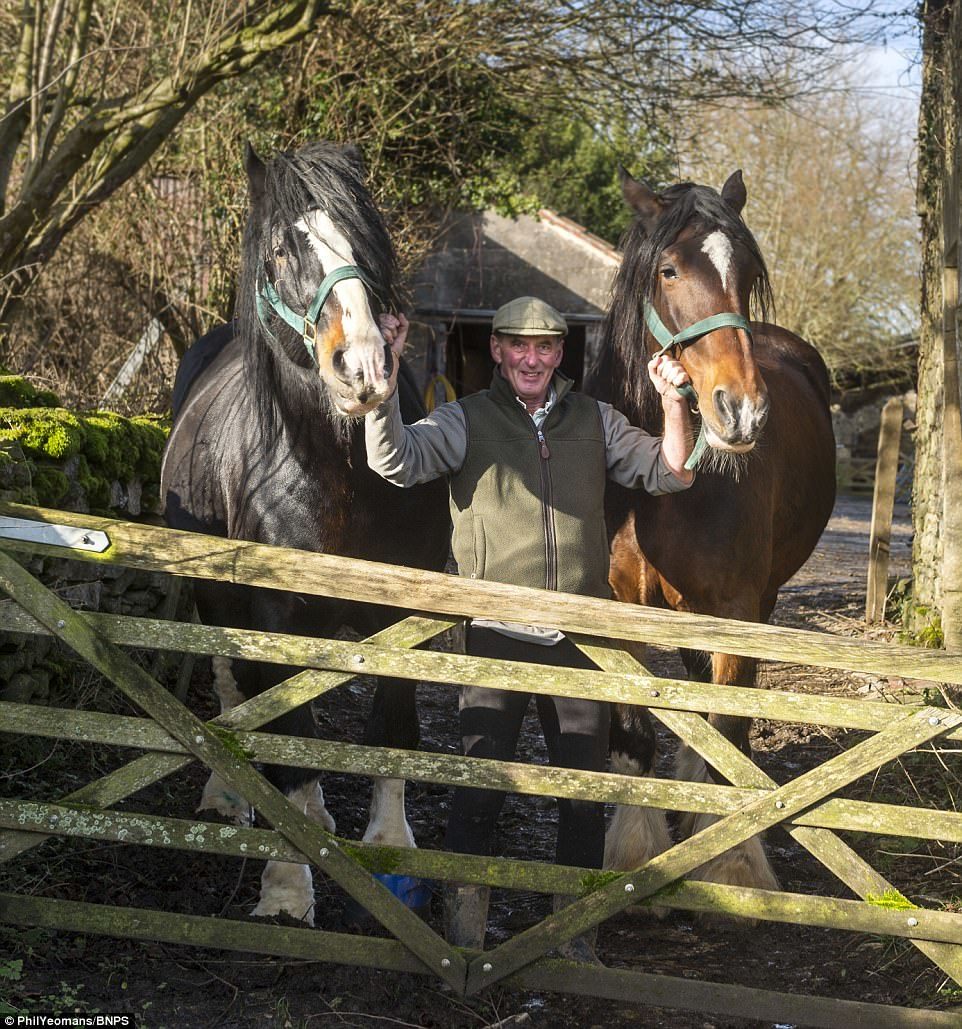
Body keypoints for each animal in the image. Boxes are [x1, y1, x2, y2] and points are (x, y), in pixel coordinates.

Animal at [162, 143, 450, 926]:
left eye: (366, 242)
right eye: (281, 250)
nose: (363, 369)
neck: (337, 472)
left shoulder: (406, 614)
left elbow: (392, 730)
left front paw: (392, 846)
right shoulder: (272, 614)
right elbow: (287, 733)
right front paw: (288, 889)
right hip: (216, 604)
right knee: (236, 693)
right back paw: (230, 798)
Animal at [588, 168, 835, 893]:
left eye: (747, 273)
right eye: (668, 270)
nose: (742, 410)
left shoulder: (735, 609)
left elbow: (724, 729)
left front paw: (732, 864)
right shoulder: (622, 608)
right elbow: (634, 732)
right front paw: (636, 854)